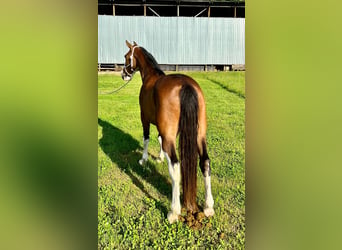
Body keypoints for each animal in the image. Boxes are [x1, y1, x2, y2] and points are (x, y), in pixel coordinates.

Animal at [121, 40, 215, 224]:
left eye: (127, 57)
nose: (123, 74)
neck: (151, 76)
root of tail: (185, 85)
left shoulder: (145, 119)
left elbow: (146, 138)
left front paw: (144, 159)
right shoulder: (164, 129)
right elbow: (158, 140)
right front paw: (159, 157)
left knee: (176, 167)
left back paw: (174, 211)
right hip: (200, 136)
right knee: (205, 162)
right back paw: (208, 207)